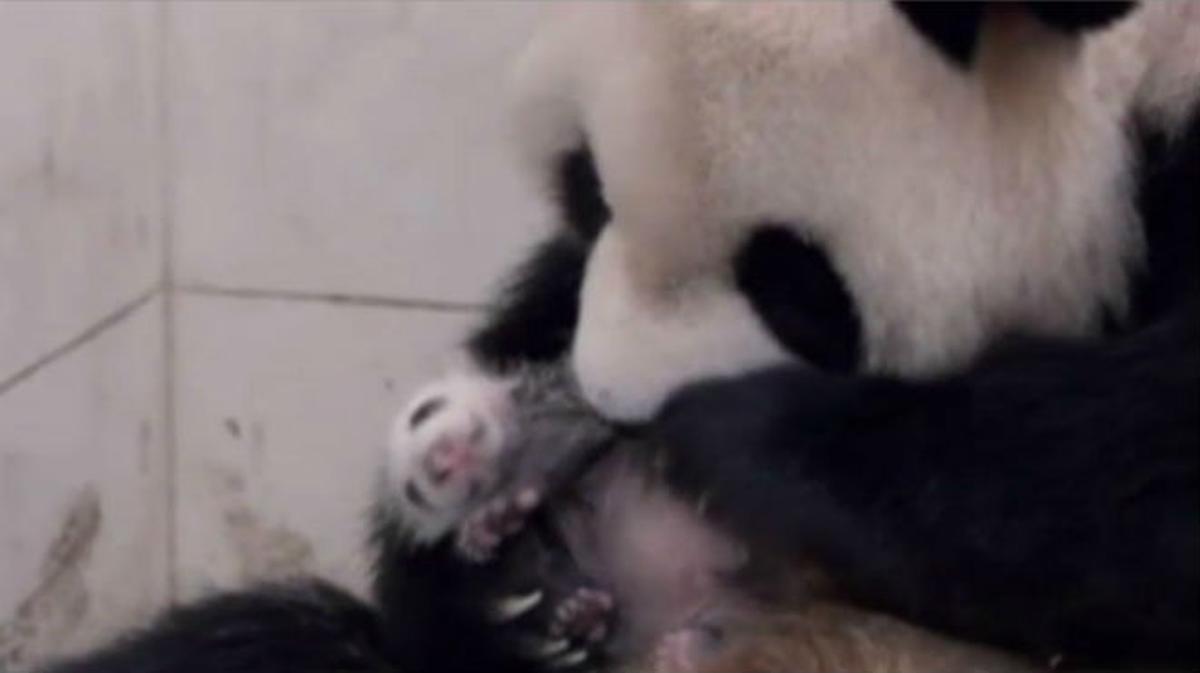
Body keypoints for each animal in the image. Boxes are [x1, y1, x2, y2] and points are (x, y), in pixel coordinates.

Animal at [39, 3, 1198, 673]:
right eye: (586, 186)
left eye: (792, 282)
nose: (611, 408)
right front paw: (513, 570)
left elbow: (1118, 479)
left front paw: (737, 442)